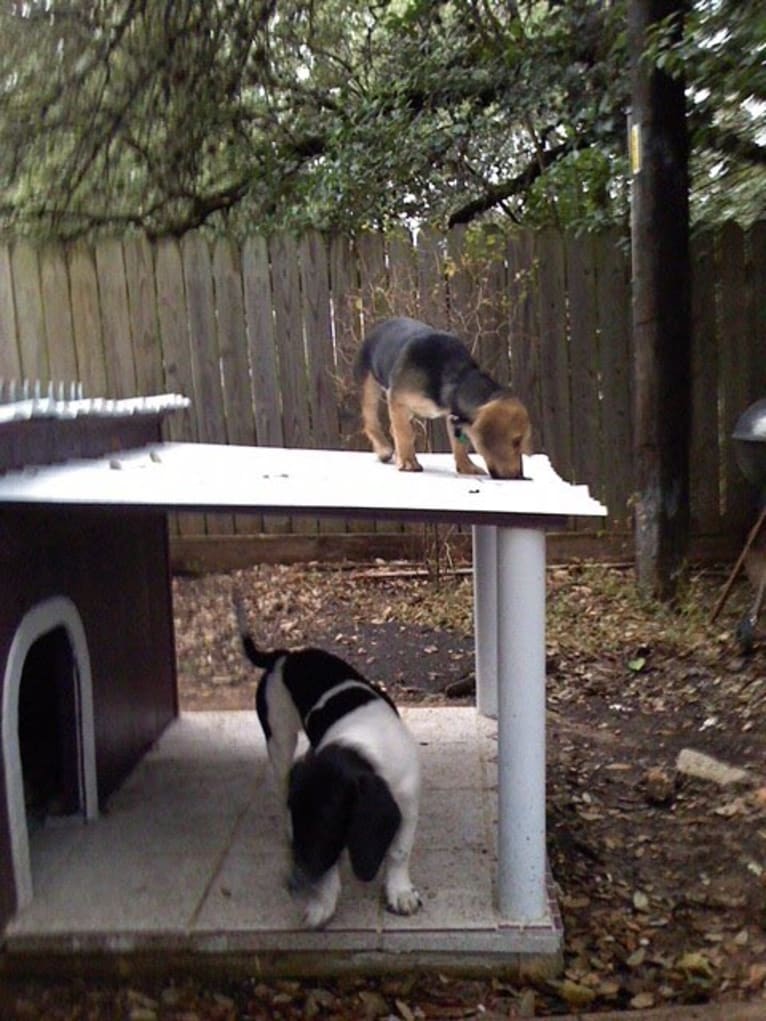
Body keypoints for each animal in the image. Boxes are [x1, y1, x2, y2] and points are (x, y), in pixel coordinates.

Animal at [236, 600, 422, 931]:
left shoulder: (408, 803)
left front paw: (399, 892)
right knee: (281, 779)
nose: (293, 884)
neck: (362, 745)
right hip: (279, 740)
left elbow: (400, 852)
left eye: (326, 825)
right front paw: (323, 902)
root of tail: (284, 656)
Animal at [355, 314, 531, 477]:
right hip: (369, 385)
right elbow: (405, 433)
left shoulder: (452, 414)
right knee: (371, 420)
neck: (459, 379)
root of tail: (380, 326)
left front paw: (466, 466)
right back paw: (384, 449)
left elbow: (458, 444)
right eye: (516, 442)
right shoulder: (397, 399)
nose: (519, 476)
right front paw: (407, 461)